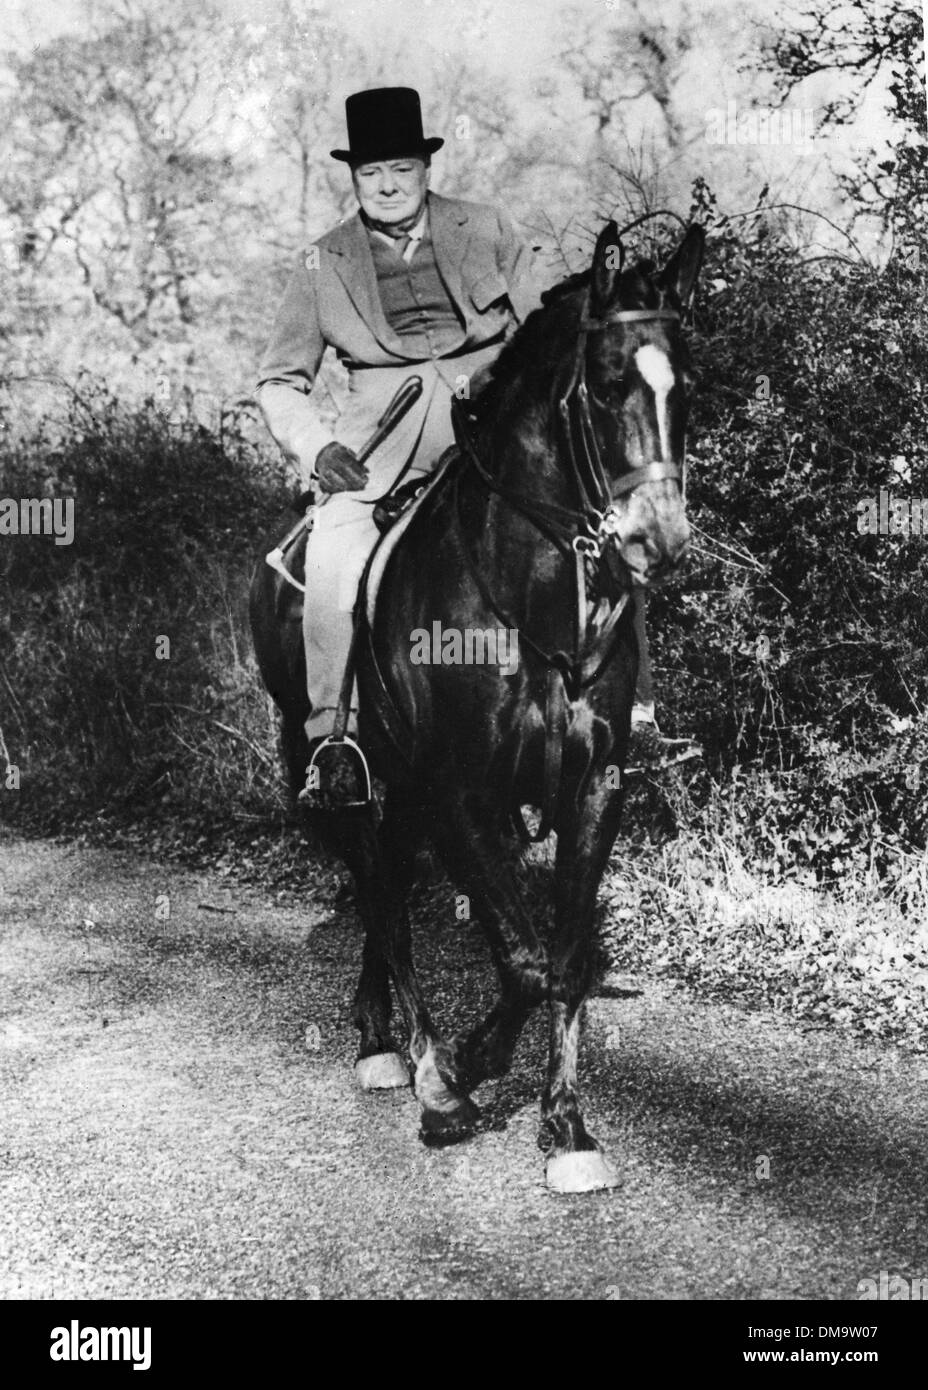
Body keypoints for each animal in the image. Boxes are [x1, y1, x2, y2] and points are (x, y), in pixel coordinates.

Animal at [248, 219, 702, 1195]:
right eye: (605, 385)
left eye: (686, 382)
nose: (658, 537)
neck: (525, 594)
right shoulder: (459, 791)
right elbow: (523, 960)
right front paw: (458, 1074)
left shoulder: (592, 787)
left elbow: (563, 960)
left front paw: (566, 1128)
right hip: (334, 773)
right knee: (377, 891)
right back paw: (407, 1058)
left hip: (405, 794)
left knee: (386, 884)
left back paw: (384, 1034)